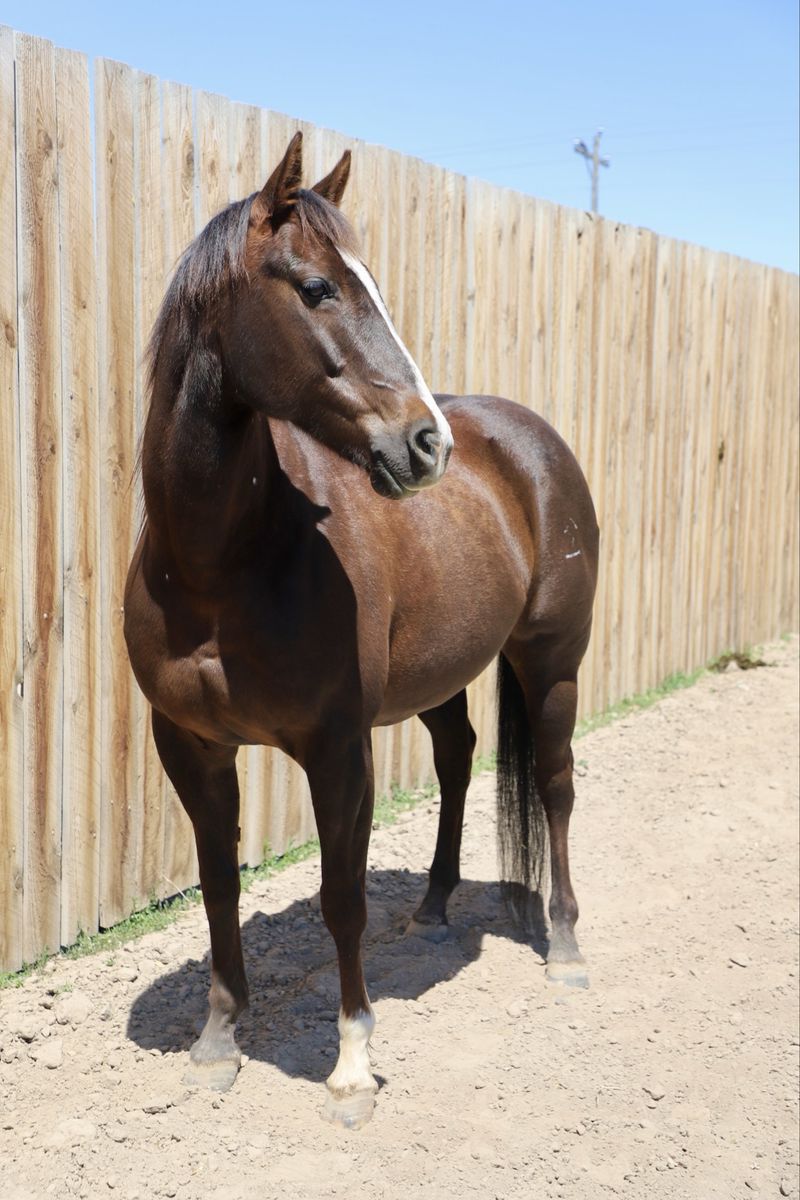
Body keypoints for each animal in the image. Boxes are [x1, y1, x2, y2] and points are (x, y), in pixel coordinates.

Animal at [124, 131, 599, 1129]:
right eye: (317, 288)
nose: (427, 445)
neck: (220, 566)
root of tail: (525, 436)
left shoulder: (338, 746)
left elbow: (340, 896)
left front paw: (351, 1064)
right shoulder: (188, 744)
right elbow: (218, 888)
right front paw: (218, 1041)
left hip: (553, 664)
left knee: (557, 785)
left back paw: (567, 948)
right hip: (443, 676)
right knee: (459, 757)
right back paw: (435, 907)